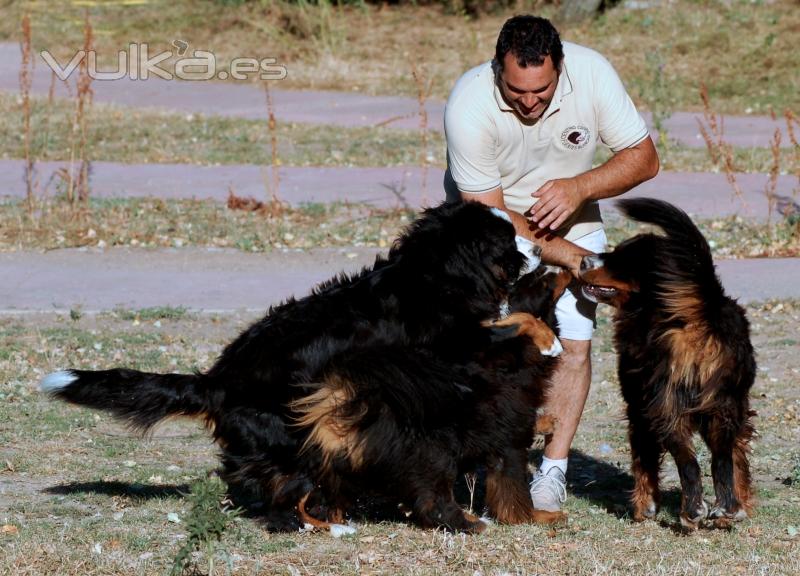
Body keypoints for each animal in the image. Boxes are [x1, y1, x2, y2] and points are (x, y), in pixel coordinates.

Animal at [40, 200, 568, 532]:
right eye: (508, 241)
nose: (540, 249)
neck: (434, 275)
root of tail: (216, 382)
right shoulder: (452, 344)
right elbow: (516, 320)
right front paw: (547, 341)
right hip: (288, 436)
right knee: (279, 495)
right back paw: (323, 525)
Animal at [580, 199, 752, 532]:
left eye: (620, 260)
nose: (583, 261)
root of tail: (703, 308)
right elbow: (737, 458)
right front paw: (741, 506)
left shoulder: (638, 407)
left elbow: (643, 461)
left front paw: (644, 507)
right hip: (726, 405)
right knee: (722, 458)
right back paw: (727, 507)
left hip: (665, 407)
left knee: (689, 462)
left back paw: (692, 510)